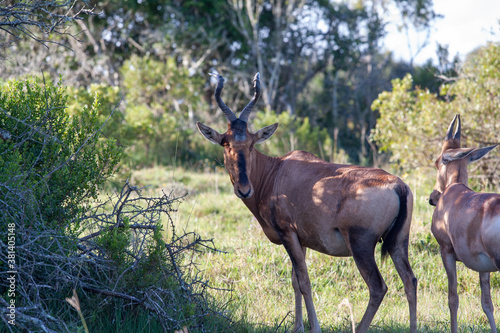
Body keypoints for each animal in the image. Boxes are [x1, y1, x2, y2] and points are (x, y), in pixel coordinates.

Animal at [197, 72, 416, 332]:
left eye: (251, 143)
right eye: (225, 142)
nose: (244, 189)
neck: (276, 171)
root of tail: (398, 185)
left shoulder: (288, 234)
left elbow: (304, 281)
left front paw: (314, 327)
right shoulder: (299, 240)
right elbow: (294, 281)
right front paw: (297, 327)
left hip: (361, 245)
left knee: (378, 287)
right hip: (398, 242)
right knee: (410, 281)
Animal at [430, 115, 500, 332]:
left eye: (438, 161)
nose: (433, 197)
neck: (455, 189)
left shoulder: (446, 251)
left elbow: (453, 299)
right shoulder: (484, 265)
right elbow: (487, 304)